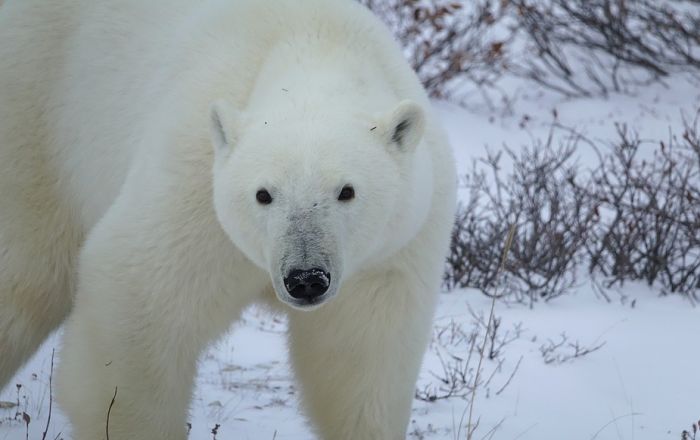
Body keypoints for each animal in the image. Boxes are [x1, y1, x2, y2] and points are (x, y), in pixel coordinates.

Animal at [0, 0, 454, 436]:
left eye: (346, 191)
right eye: (263, 194)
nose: (306, 278)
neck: (315, 42)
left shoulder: (389, 252)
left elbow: (362, 360)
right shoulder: (193, 185)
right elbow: (139, 306)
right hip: (37, 116)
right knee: (28, 276)